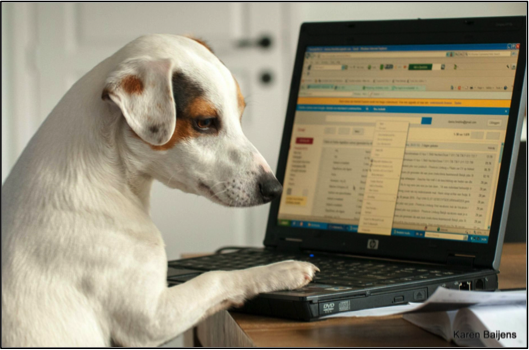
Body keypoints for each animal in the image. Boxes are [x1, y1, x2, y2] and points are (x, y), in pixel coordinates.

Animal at [2, 34, 318, 348]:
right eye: (205, 122)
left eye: (240, 115)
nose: (275, 188)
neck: (111, 177)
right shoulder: (150, 319)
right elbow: (214, 277)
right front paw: (282, 269)